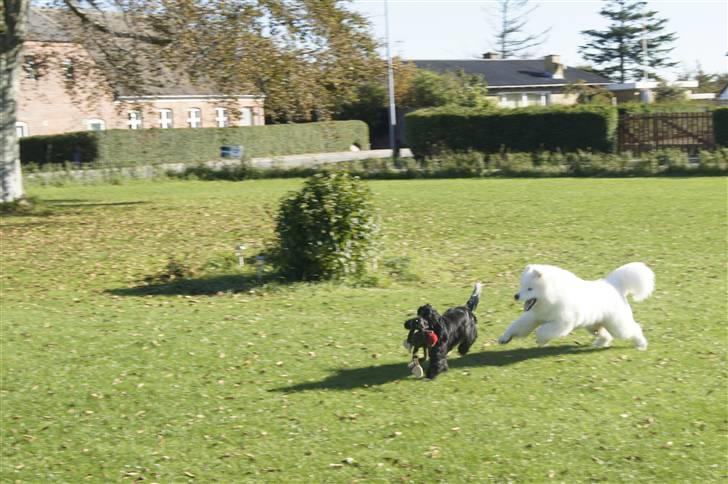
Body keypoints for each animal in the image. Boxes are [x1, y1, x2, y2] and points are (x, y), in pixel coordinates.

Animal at [500, 262, 656, 350]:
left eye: (530, 289)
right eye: (521, 287)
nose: (516, 296)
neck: (552, 296)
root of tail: (613, 285)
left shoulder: (561, 323)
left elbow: (543, 330)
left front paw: (541, 340)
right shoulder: (533, 317)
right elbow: (516, 326)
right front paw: (504, 338)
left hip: (617, 325)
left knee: (634, 329)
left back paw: (641, 344)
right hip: (593, 325)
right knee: (605, 334)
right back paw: (600, 343)